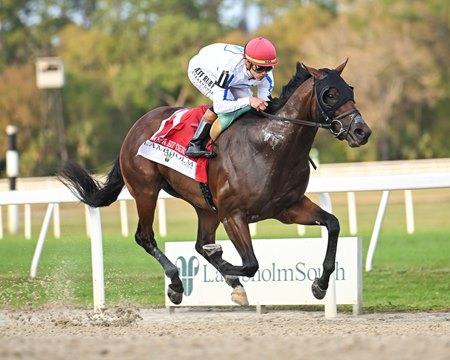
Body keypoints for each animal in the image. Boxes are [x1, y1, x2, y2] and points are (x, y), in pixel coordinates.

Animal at [58, 59, 370, 306]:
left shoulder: (288, 208)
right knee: (145, 237)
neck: (271, 147)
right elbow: (251, 264)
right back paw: (177, 284)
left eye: (350, 89)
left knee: (200, 243)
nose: (361, 131)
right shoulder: (234, 215)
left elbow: (333, 224)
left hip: (205, 206)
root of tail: (135, 126)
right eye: (330, 94)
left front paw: (320, 285)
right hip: (146, 191)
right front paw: (225, 267)